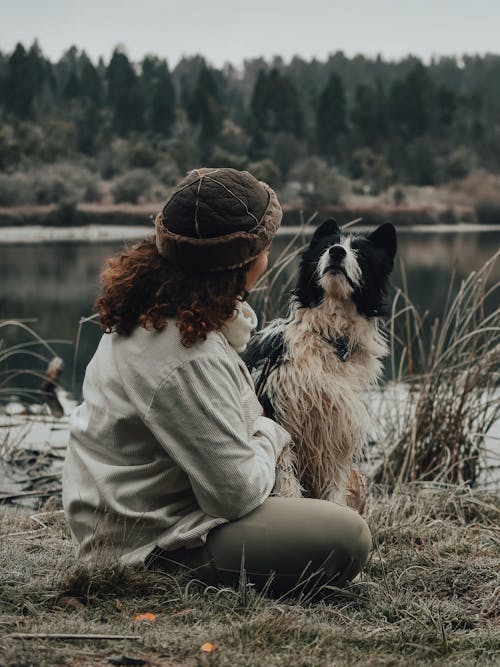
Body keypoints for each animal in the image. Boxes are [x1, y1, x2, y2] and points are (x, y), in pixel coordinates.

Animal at [244, 219, 396, 506]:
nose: (337, 252)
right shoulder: (279, 413)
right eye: (328, 246)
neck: (332, 339)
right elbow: (286, 477)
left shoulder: (337, 433)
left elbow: (334, 492)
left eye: (358, 252)